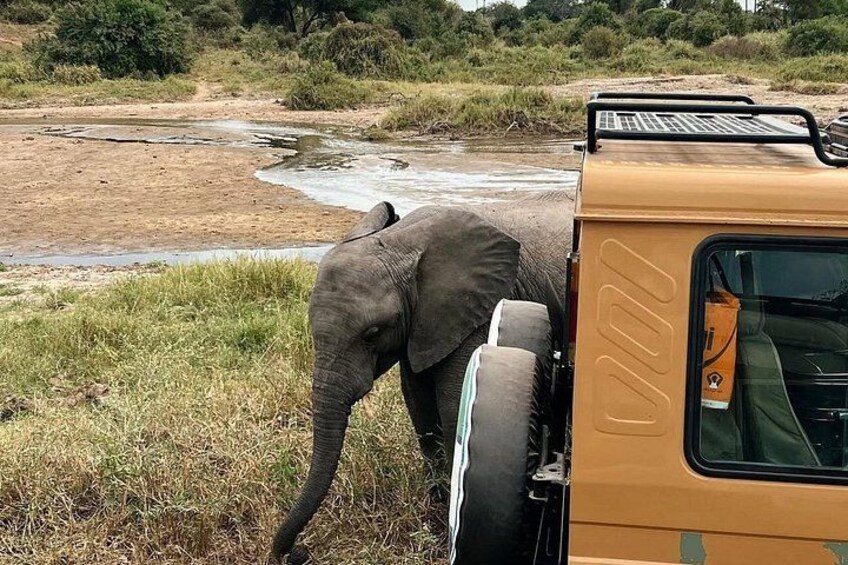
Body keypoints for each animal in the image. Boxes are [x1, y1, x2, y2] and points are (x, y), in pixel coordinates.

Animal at [271, 191, 574, 563]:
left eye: (372, 334)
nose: (300, 552)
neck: (402, 243)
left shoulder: (475, 312)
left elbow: (452, 406)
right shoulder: (421, 325)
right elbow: (420, 406)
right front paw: (434, 513)